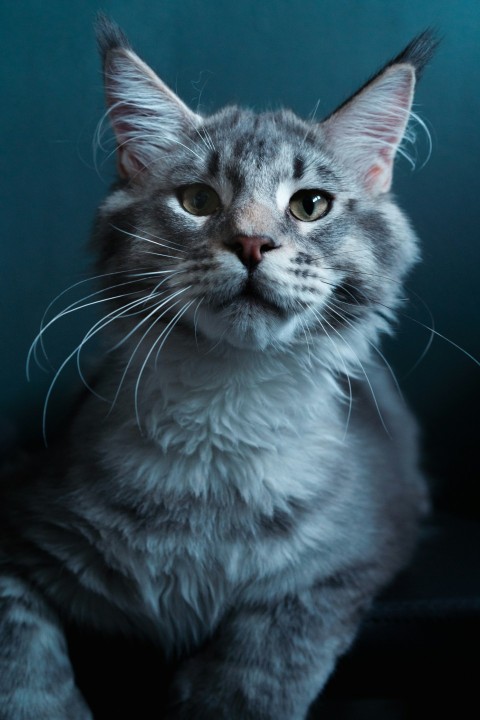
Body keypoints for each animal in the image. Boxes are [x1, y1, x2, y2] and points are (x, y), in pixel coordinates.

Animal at [0, 15, 436, 720]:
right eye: (199, 200)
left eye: (310, 205)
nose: (253, 243)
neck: (224, 408)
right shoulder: (17, 519)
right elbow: (22, 658)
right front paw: (50, 707)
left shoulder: (362, 546)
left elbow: (270, 651)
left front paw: (218, 698)